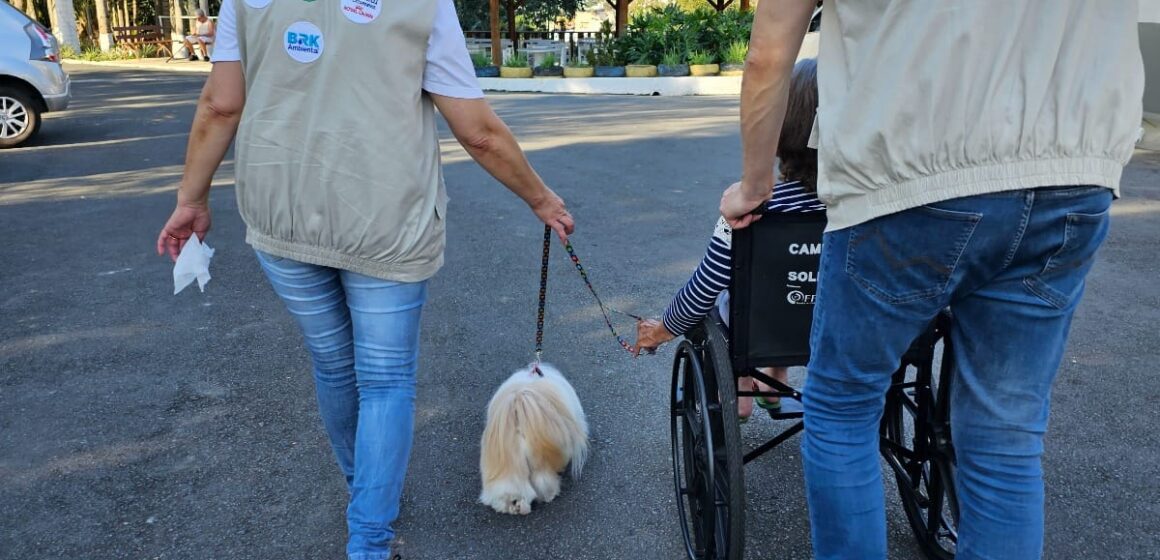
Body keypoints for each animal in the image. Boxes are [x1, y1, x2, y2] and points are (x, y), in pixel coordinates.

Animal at [480, 364, 589, 517]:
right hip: (540, 463)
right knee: (543, 482)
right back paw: (549, 495)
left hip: (509, 465)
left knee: (510, 491)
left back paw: (514, 506)